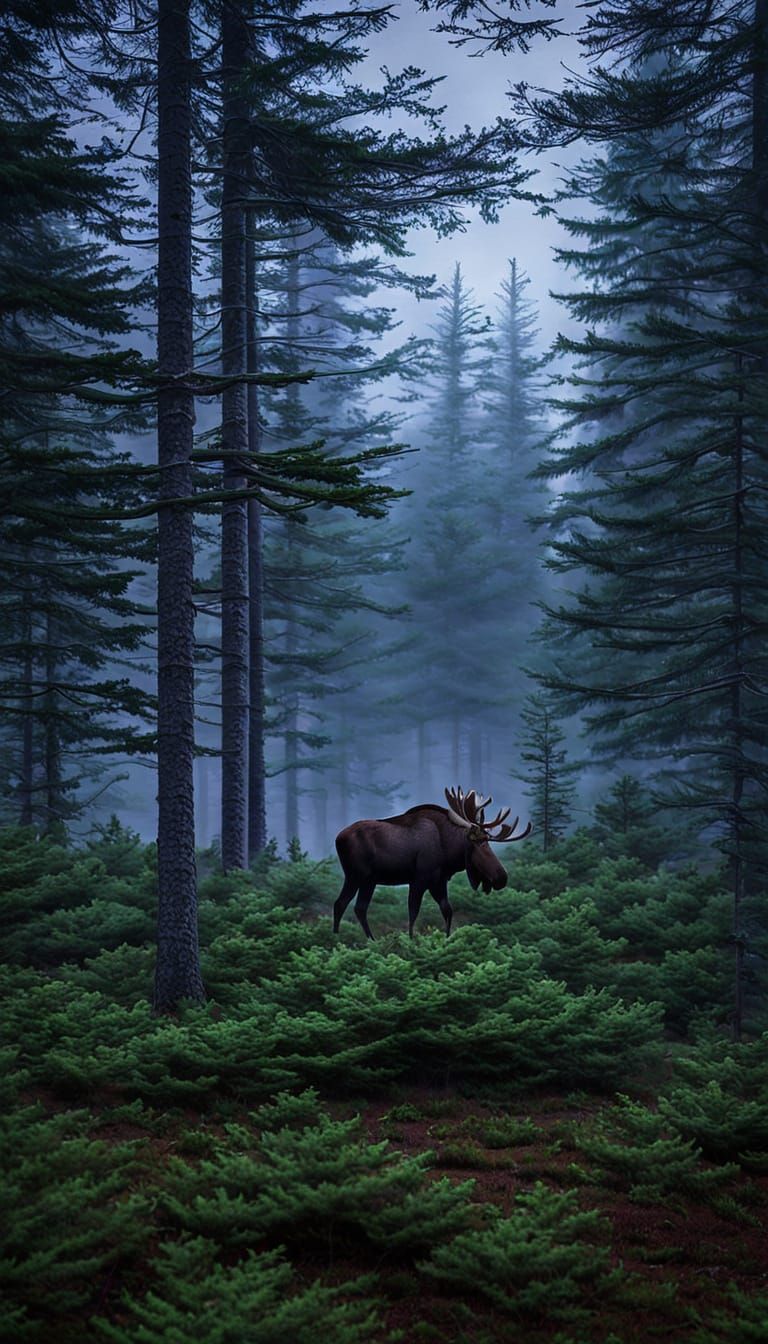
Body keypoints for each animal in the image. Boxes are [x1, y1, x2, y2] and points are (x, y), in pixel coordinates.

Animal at [333, 786, 532, 940]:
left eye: (487, 841)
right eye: (480, 843)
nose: (501, 877)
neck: (448, 849)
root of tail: (338, 838)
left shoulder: (438, 881)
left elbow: (447, 910)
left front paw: (446, 939)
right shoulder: (420, 879)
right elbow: (413, 911)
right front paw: (411, 941)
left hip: (369, 880)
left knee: (358, 907)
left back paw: (368, 940)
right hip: (356, 875)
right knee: (342, 903)